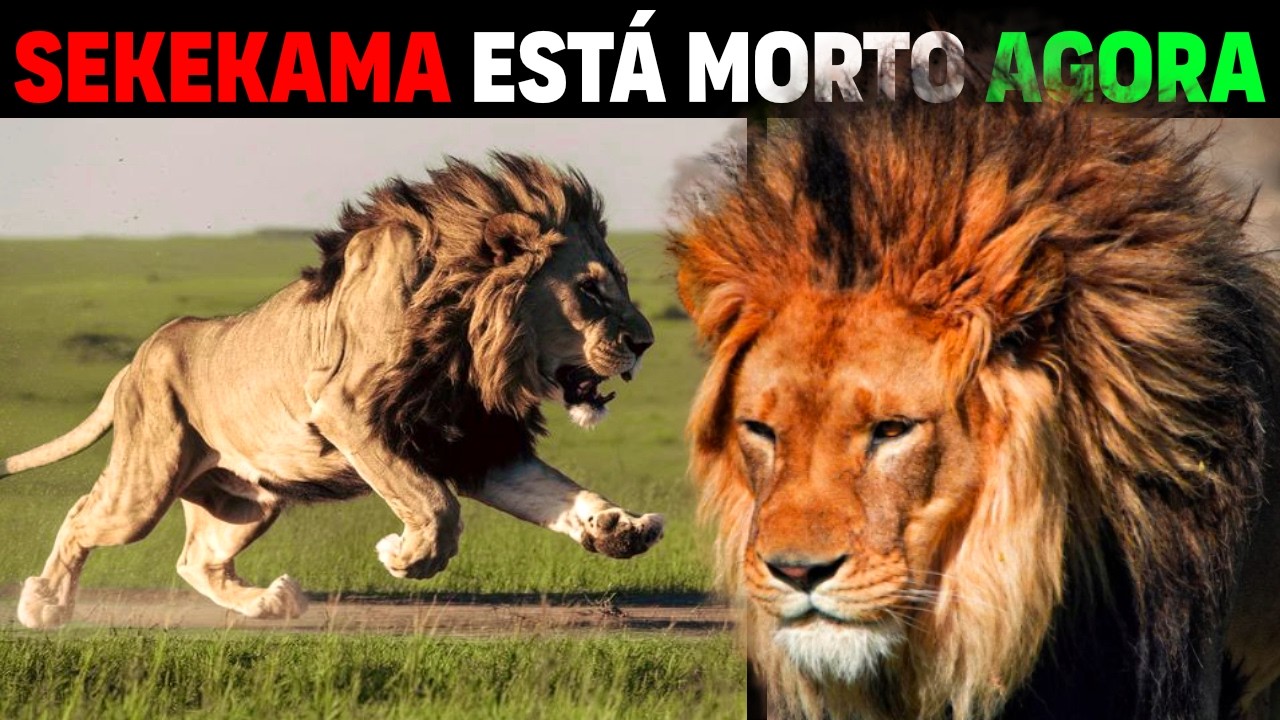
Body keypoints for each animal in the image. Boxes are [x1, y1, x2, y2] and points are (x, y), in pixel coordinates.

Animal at [2, 152, 664, 630]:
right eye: (589, 290)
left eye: (619, 283)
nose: (646, 342)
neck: (471, 336)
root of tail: (147, 349)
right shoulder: (349, 412)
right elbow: (435, 505)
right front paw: (405, 555)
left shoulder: (479, 442)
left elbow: (559, 494)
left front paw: (618, 527)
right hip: (147, 482)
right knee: (83, 517)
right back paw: (43, 606)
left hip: (248, 499)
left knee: (196, 559)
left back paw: (269, 603)